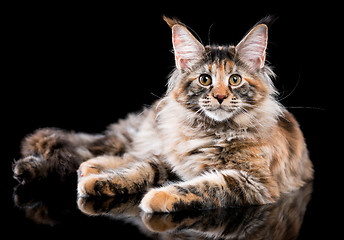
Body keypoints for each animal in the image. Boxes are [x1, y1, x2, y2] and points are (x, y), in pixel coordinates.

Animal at [12, 16, 314, 212]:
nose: (219, 97)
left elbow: (202, 185)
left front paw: (156, 198)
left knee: (117, 154)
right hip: (139, 136)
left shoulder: (253, 181)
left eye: (235, 80)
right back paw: (53, 168)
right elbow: (143, 168)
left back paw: (91, 168)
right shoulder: (173, 159)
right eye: (205, 79)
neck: (209, 133)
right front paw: (102, 182)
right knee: (100, 150)